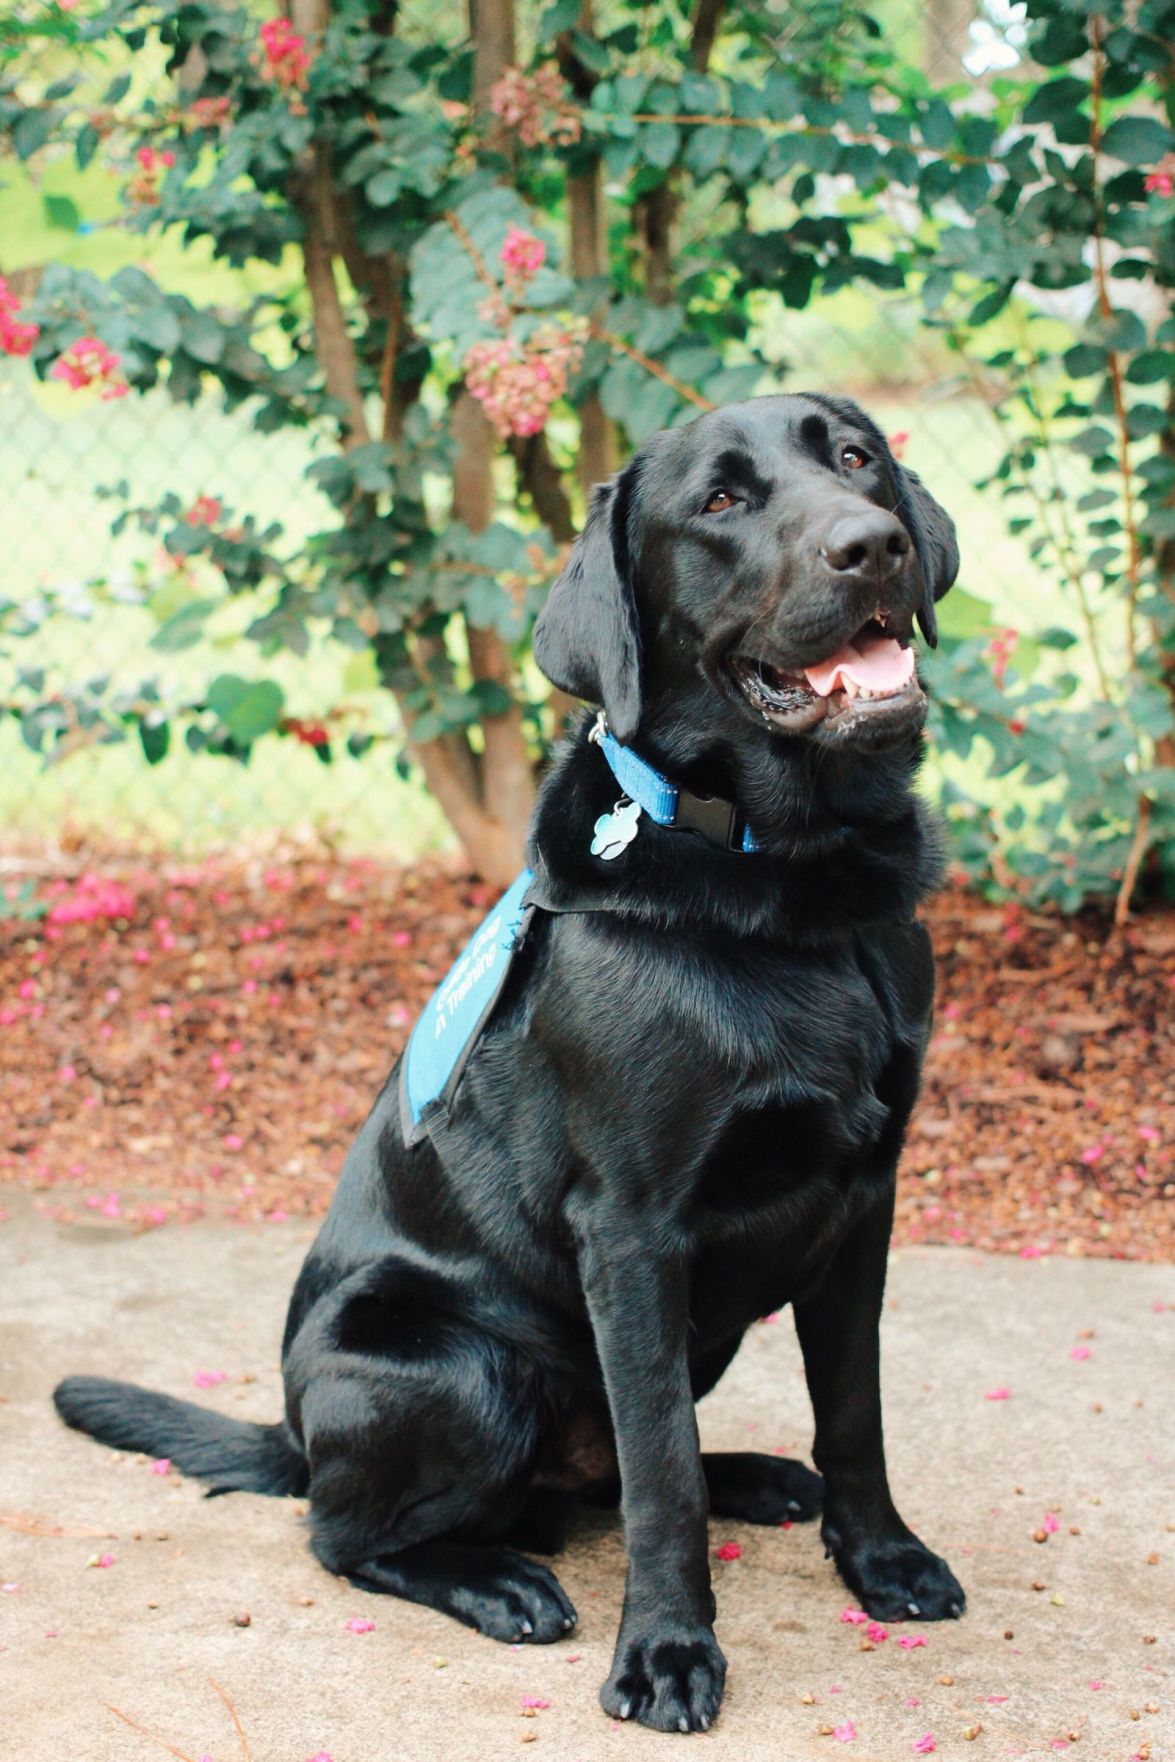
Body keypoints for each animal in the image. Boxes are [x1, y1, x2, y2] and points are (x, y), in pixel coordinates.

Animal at [55, 392, 965, 1726]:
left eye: (854, 459)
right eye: (720, 502)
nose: (872, 545)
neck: (787, 879)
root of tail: (293, 1430)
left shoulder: (863, 1195)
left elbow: (852, 1409)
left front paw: (883, 1557)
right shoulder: (633, 1228)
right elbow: (658, 1474)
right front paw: (666, 1650)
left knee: (606, 1470)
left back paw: (750, 1475)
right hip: (456, 1366)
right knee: (349, 1535)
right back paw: (496, 1579)